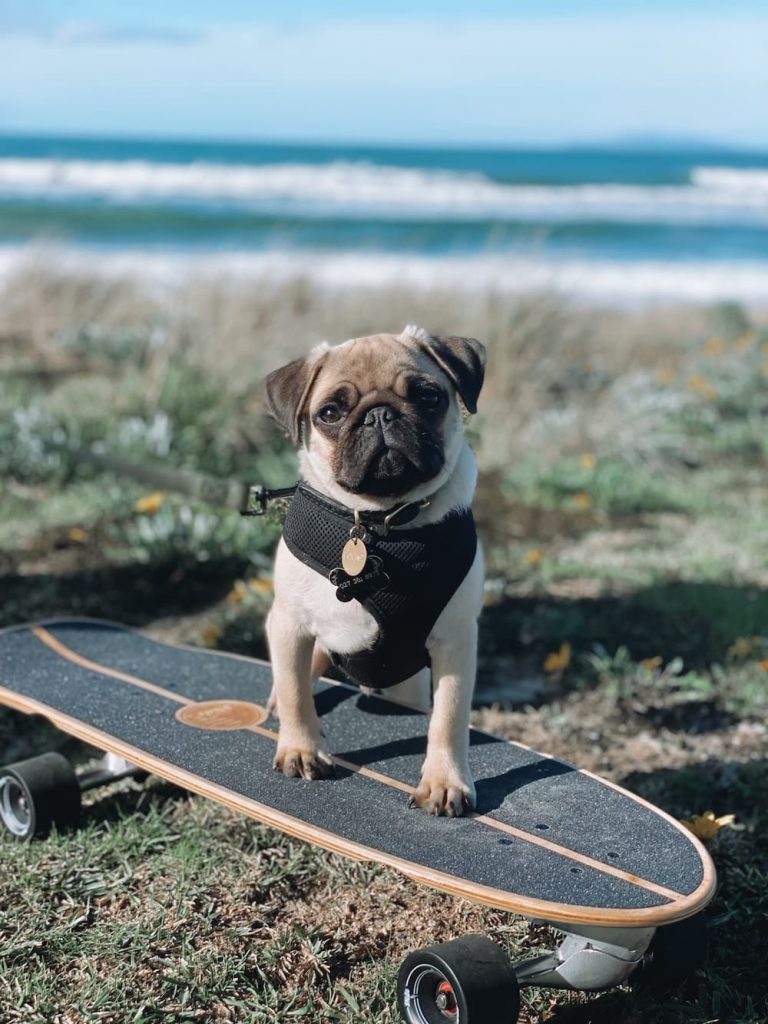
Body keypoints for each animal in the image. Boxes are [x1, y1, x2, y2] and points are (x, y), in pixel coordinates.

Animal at [262, 323, 483, 819]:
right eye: (330, 413)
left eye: (427, 397)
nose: (379, 415)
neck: (379, 524)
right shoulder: (290, 625)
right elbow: (294, 692)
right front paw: (301, 749)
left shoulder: (456, 641)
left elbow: (449, 717)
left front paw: (444, 781)